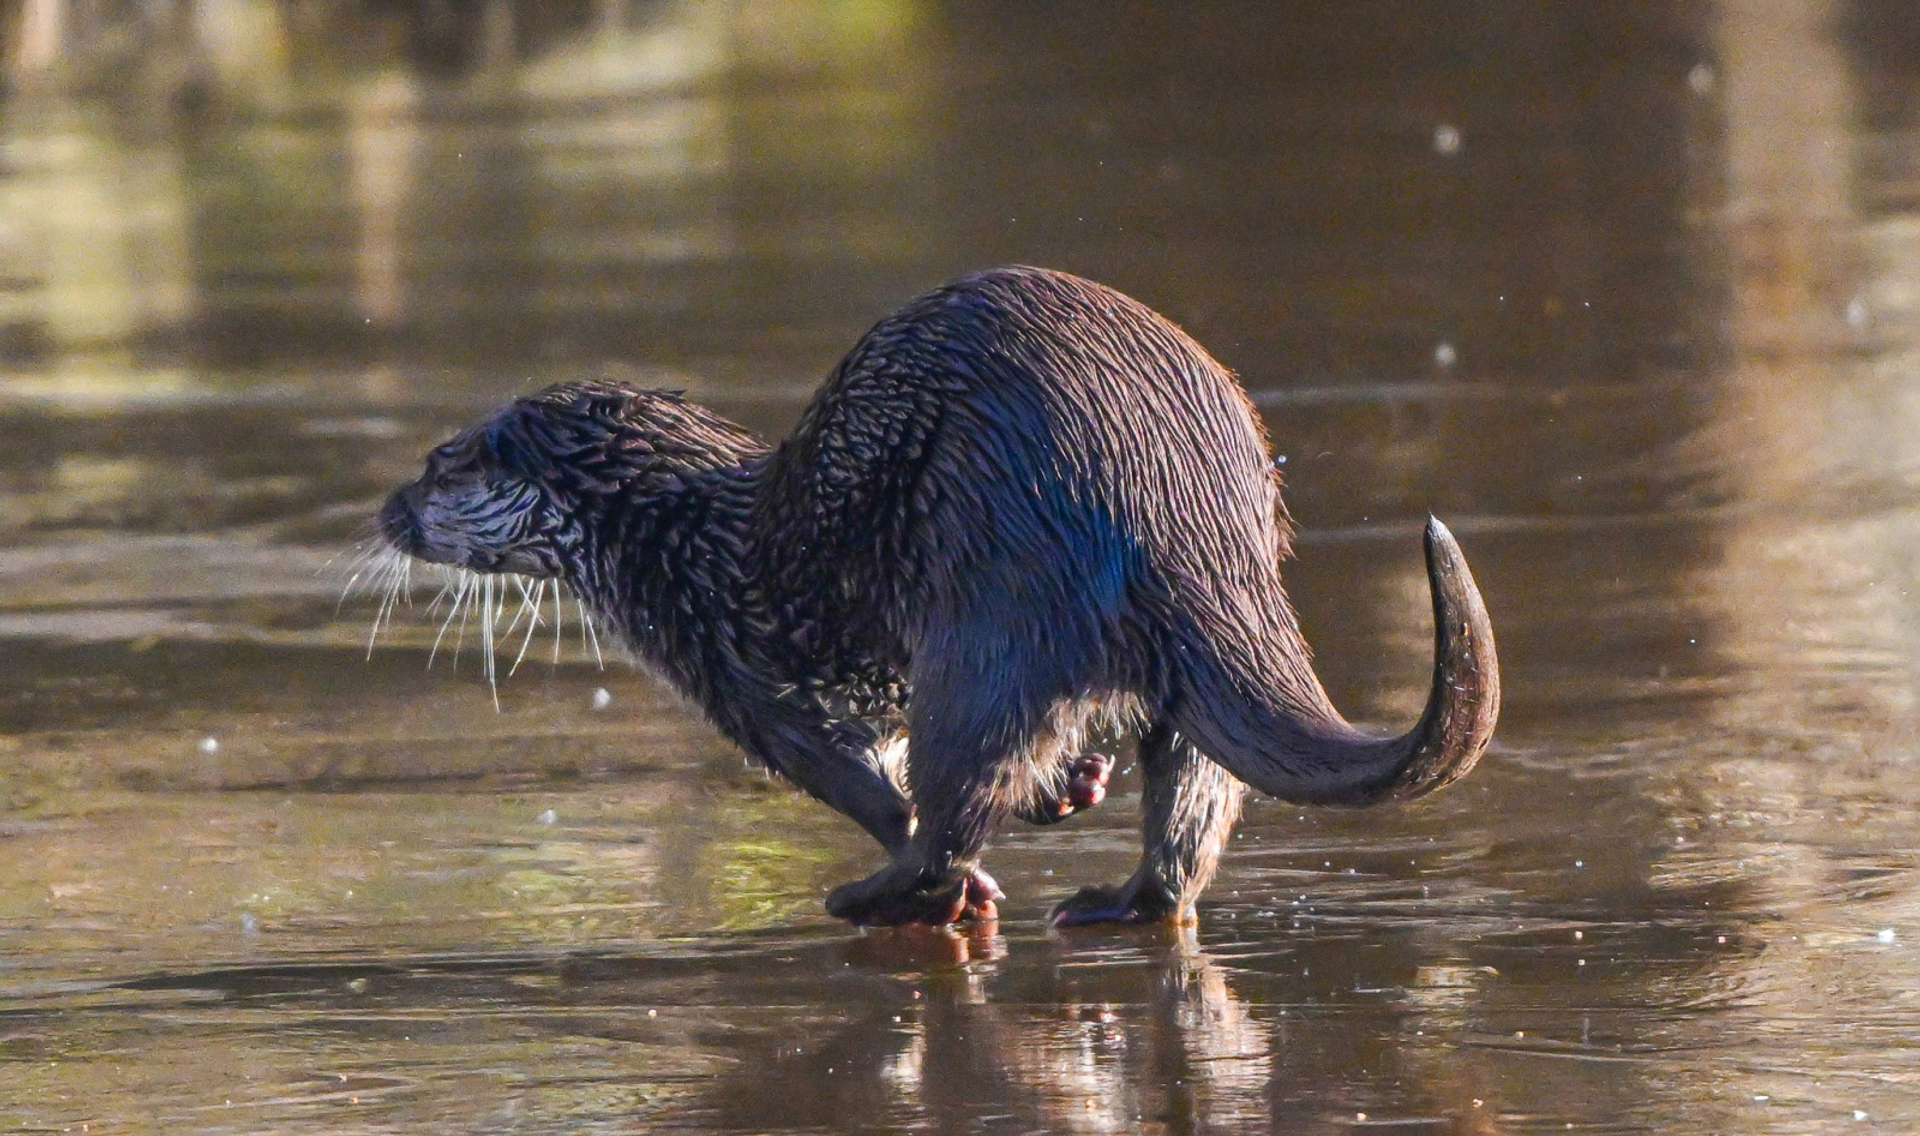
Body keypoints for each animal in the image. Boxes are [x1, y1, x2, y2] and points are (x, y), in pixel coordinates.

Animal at [380, 267, 1499, 927]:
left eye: (441, 461)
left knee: (958, 788)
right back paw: (1116, 898)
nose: (387, 509)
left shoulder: (736, 670)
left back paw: (880, 896)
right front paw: (1071, 788)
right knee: (1191, 802)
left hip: (990, 610)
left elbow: (857, 779)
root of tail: (1168, 491)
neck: (677, 532)